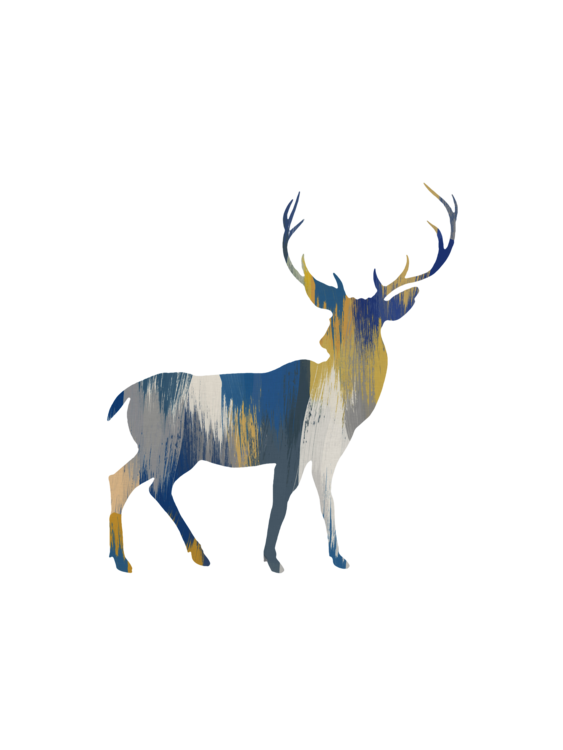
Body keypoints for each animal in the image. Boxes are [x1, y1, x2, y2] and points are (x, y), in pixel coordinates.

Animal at [107, 182, 459, 576]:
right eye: (332, 318)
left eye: (376, 321)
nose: (326, 342)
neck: (340, 402)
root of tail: (126, 394)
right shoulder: (292, 445)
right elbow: (283, 499)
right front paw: (276, 562)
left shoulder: (326, 452)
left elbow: (326, 497)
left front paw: (338, 559)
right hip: (168, 441)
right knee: (155, 485)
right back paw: (198, 555)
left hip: (167, 447)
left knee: (122, 478)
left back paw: (125, 561)